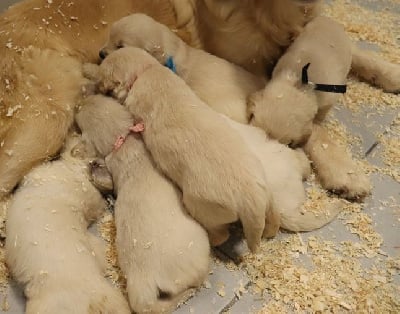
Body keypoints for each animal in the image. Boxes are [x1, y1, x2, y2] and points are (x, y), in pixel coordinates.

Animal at [95, 47, 280, 253]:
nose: (96, 87)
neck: (146, 70)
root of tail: (250, 198)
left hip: (201, 206)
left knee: (220, 234)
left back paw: (213, 240)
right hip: (265, 190)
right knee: (273, 216)